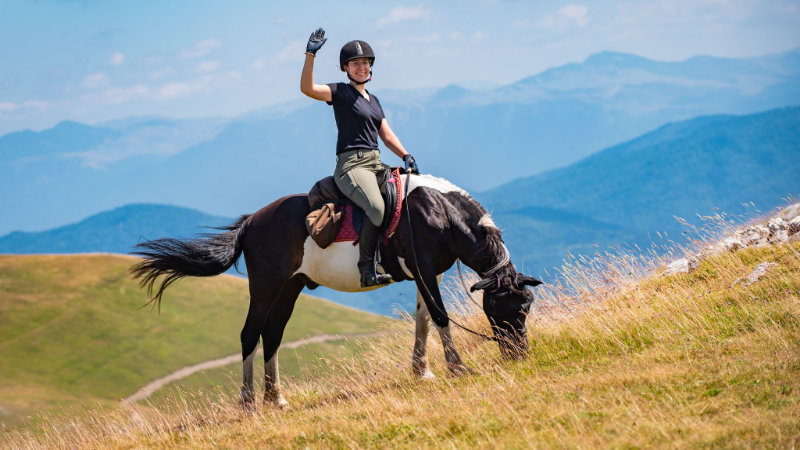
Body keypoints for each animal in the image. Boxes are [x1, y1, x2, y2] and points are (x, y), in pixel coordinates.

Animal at [130, 172, 544, 408]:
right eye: (502, 308)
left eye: (526, 307)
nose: (519, 354)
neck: (439, 212)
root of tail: (251, 223)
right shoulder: (425, 269)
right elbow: (440, 316)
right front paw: (456, 368)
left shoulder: (429, 275)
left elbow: (423, 319)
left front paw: (421, 370)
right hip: (266, 286)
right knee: (250, 333)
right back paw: (248, 401)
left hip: (291, 287)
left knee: (272, 334)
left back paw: (276, 397)